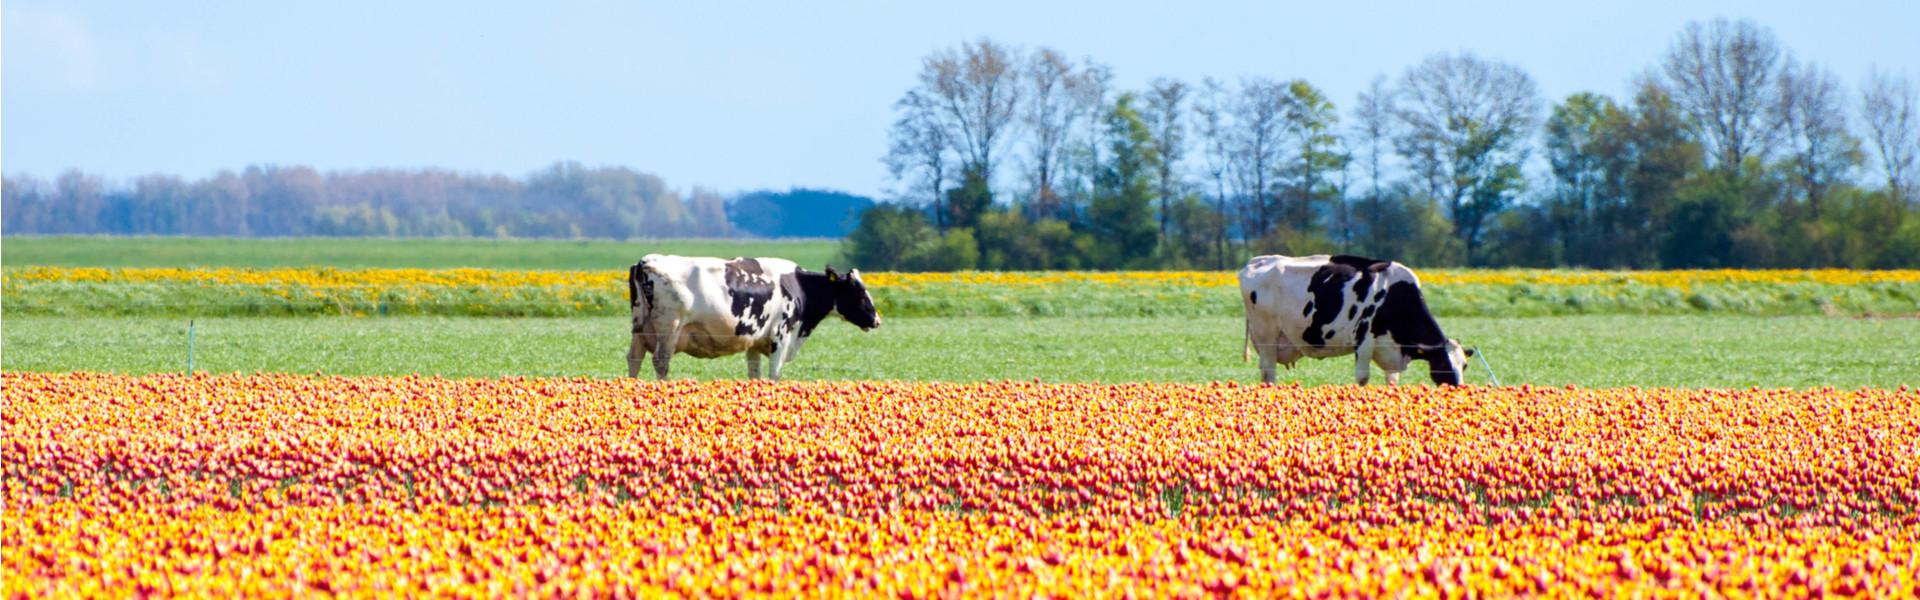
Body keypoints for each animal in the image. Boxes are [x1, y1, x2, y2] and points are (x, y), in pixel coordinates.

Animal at [625, 253, 879, 378]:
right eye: (858, 292)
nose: (877, 320)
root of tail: (645, 261)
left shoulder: (755, 342)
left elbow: (754, 375)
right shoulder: (780, 338)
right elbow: (774, 376)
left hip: (640, 329)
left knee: (634, 359)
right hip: (669, 328)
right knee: (661, 361)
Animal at [1244, 253, 1466, 384]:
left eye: (1464, 365)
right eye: (1443, 365)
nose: (1456, 390)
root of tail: (1258, 260)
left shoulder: (1391, 348)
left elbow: (1392, 381)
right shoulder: (1364, 341)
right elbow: (1362, 379)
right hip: (1267, 337)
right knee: (1268, 374)